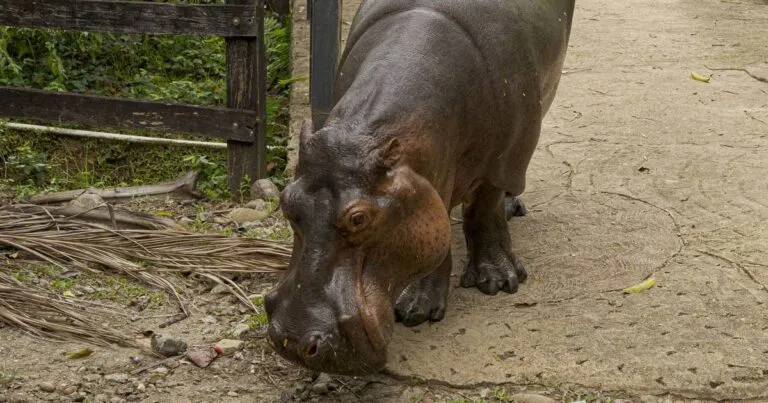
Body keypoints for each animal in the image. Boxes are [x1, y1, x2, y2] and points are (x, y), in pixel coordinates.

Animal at [265, 0, 576, 375]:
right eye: (286, 202)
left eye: (358, 218)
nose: (291, 341)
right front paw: (417, 307)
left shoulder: (503, 158)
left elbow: (483, 210)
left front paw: (497, 283)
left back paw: (511, 208)